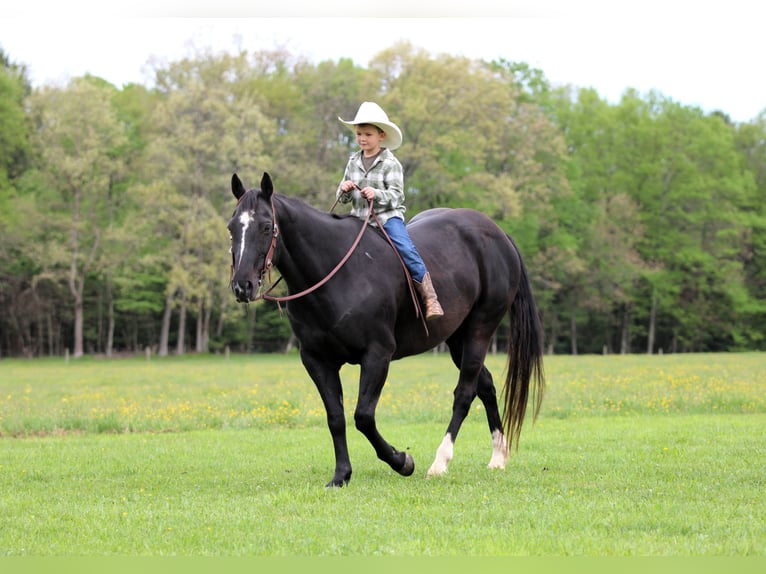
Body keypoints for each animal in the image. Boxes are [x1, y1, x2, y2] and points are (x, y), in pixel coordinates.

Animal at [228, 172, 545, 487]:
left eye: (266, 226)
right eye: (232, 227)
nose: (242, 285)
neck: (337, 272)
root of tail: (498, 234)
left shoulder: (377, 355)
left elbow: (363, 416)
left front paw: (402, 461)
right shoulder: (317, 360)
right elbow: (336, 417)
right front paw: (341, 475)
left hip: (480, 330)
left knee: (464, 394)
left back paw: (440, 462)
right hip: (457, 338)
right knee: (486, 386)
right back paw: (498, 457)